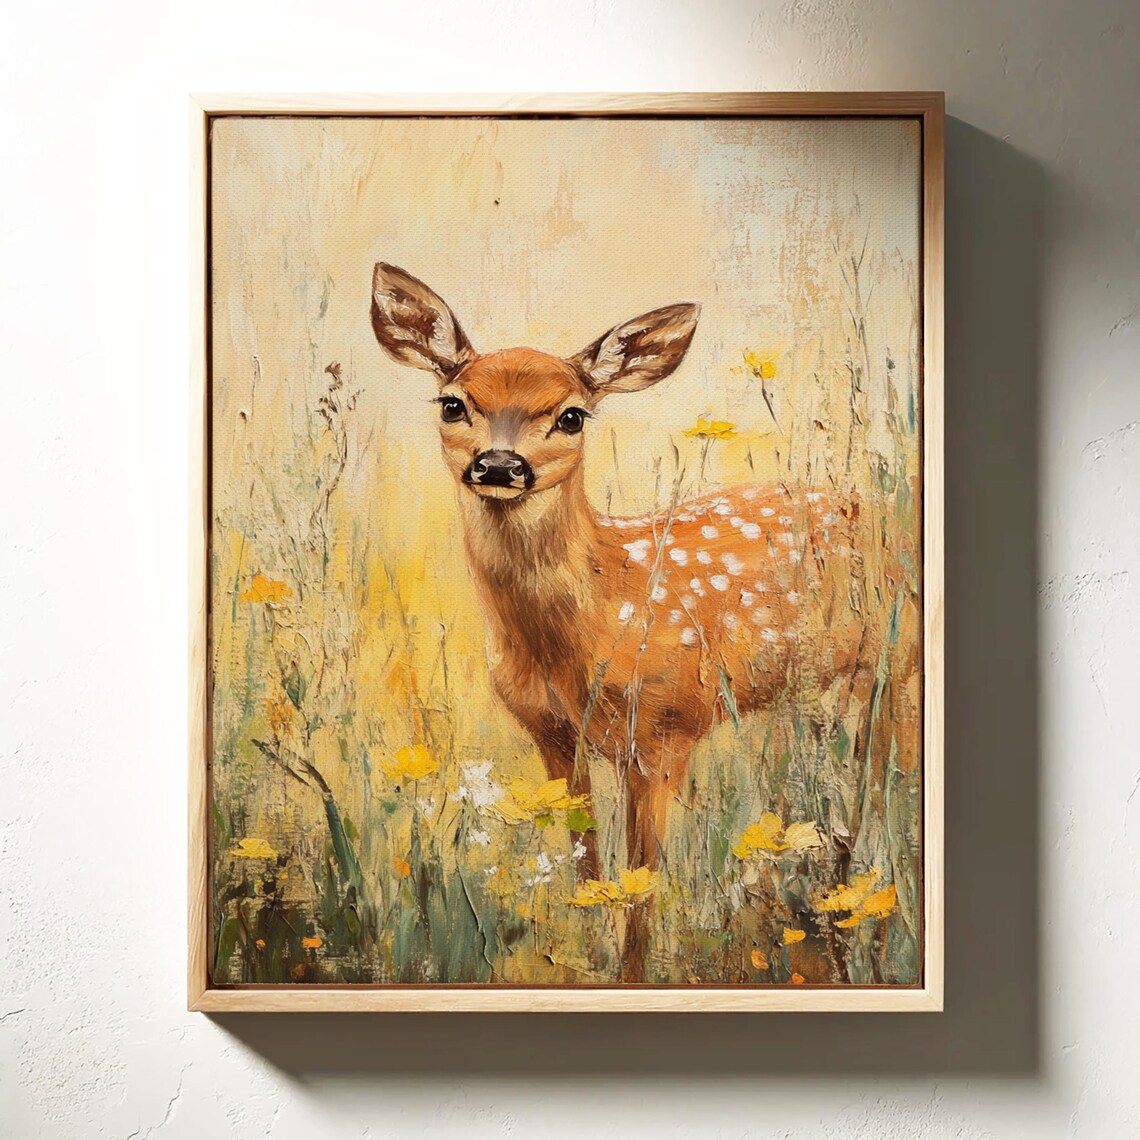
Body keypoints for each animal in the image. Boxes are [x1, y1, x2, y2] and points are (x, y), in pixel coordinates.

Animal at [369, 262, 917, 981]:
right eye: (453, 404)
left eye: (571, 414)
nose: (500, 465)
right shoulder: (552, 735)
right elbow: (585, 869)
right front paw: (584, 955)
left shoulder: (665, 728)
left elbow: (640, 892)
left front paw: (630, 975)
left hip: (899, 668)